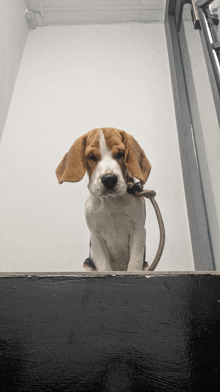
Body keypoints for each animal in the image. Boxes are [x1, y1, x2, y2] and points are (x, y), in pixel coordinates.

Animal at [55, 127, 150, 272]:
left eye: (120, 154)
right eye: (92, 157)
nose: (109, 179)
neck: (111, 201)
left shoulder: (138, 230)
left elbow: (135, 262)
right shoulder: (96, 235)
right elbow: (104, 266)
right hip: (87, 264)